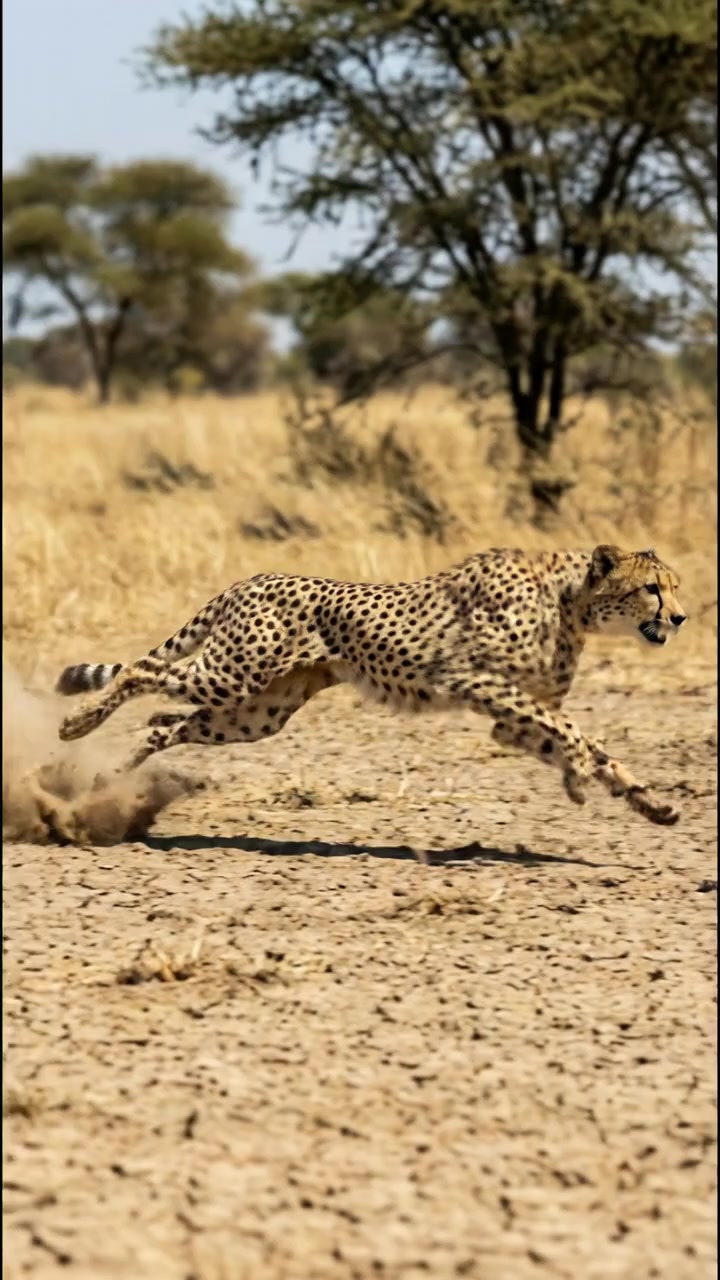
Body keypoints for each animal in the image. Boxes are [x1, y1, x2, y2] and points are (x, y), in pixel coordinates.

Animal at [55, 543, 687, 826]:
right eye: (652, 588)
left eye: (674, 587)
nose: (680, 618)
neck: (572, 602)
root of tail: (250, 577)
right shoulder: (476, 680)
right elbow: (572, 734)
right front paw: (579, 778)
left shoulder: (508, 717)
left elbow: (589, 745)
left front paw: (649, 802)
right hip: (233, 672)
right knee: (140, 672)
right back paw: (75, 726)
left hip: (259, 712)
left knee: (167, 723)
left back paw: (108, 779)